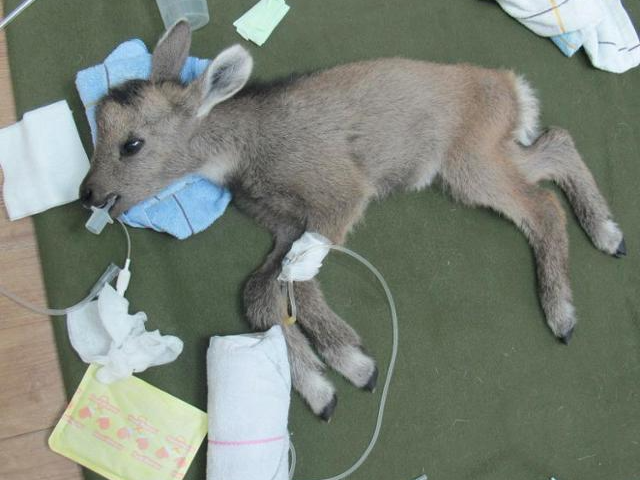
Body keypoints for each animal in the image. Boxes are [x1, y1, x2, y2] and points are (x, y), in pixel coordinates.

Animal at [80, 23, 624, 420]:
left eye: (132, 144)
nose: (88, 194)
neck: (247, 152)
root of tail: (512, 87)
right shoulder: (282, 226)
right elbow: (260, 291)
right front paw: (323, 387)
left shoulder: (339, 196)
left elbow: (293, 285)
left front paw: (354, 368)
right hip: (489, 154)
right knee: (557, 145)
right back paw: (608, 234)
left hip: (469, 164)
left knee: (542, 204)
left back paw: (564, 311)